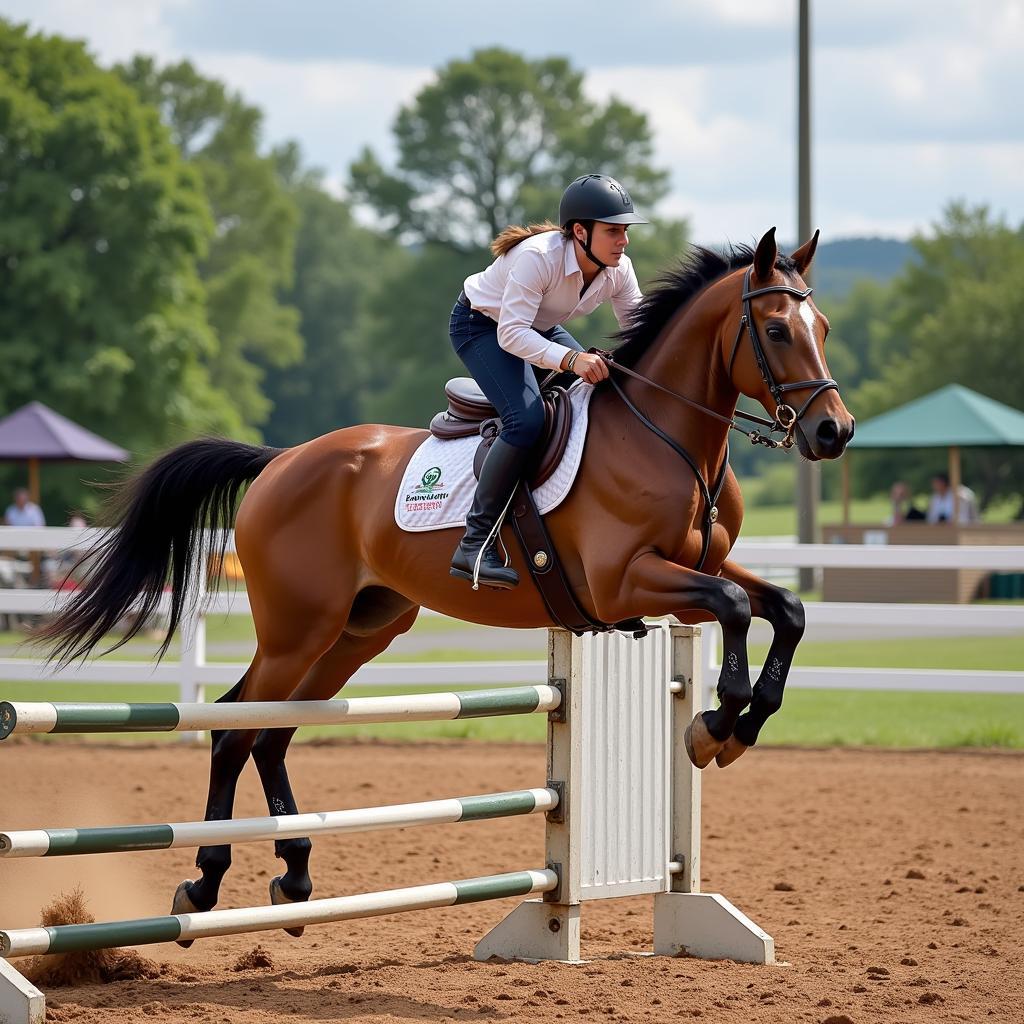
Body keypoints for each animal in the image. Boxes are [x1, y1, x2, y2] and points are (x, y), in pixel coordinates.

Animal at [37, 226, 856, 929]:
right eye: (776, 331)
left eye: (822, 328)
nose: (834, 432)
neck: (664, 436)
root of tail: (280, 461)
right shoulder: (626, 582)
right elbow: (734, 608)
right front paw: (714, 726)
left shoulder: (698, 567)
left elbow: (784, 608)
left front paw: (740, 725)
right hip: (298, 629)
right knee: (234, 727)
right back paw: (204, 881)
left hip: (359, 629)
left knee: (272, 731)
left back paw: (295, 877)